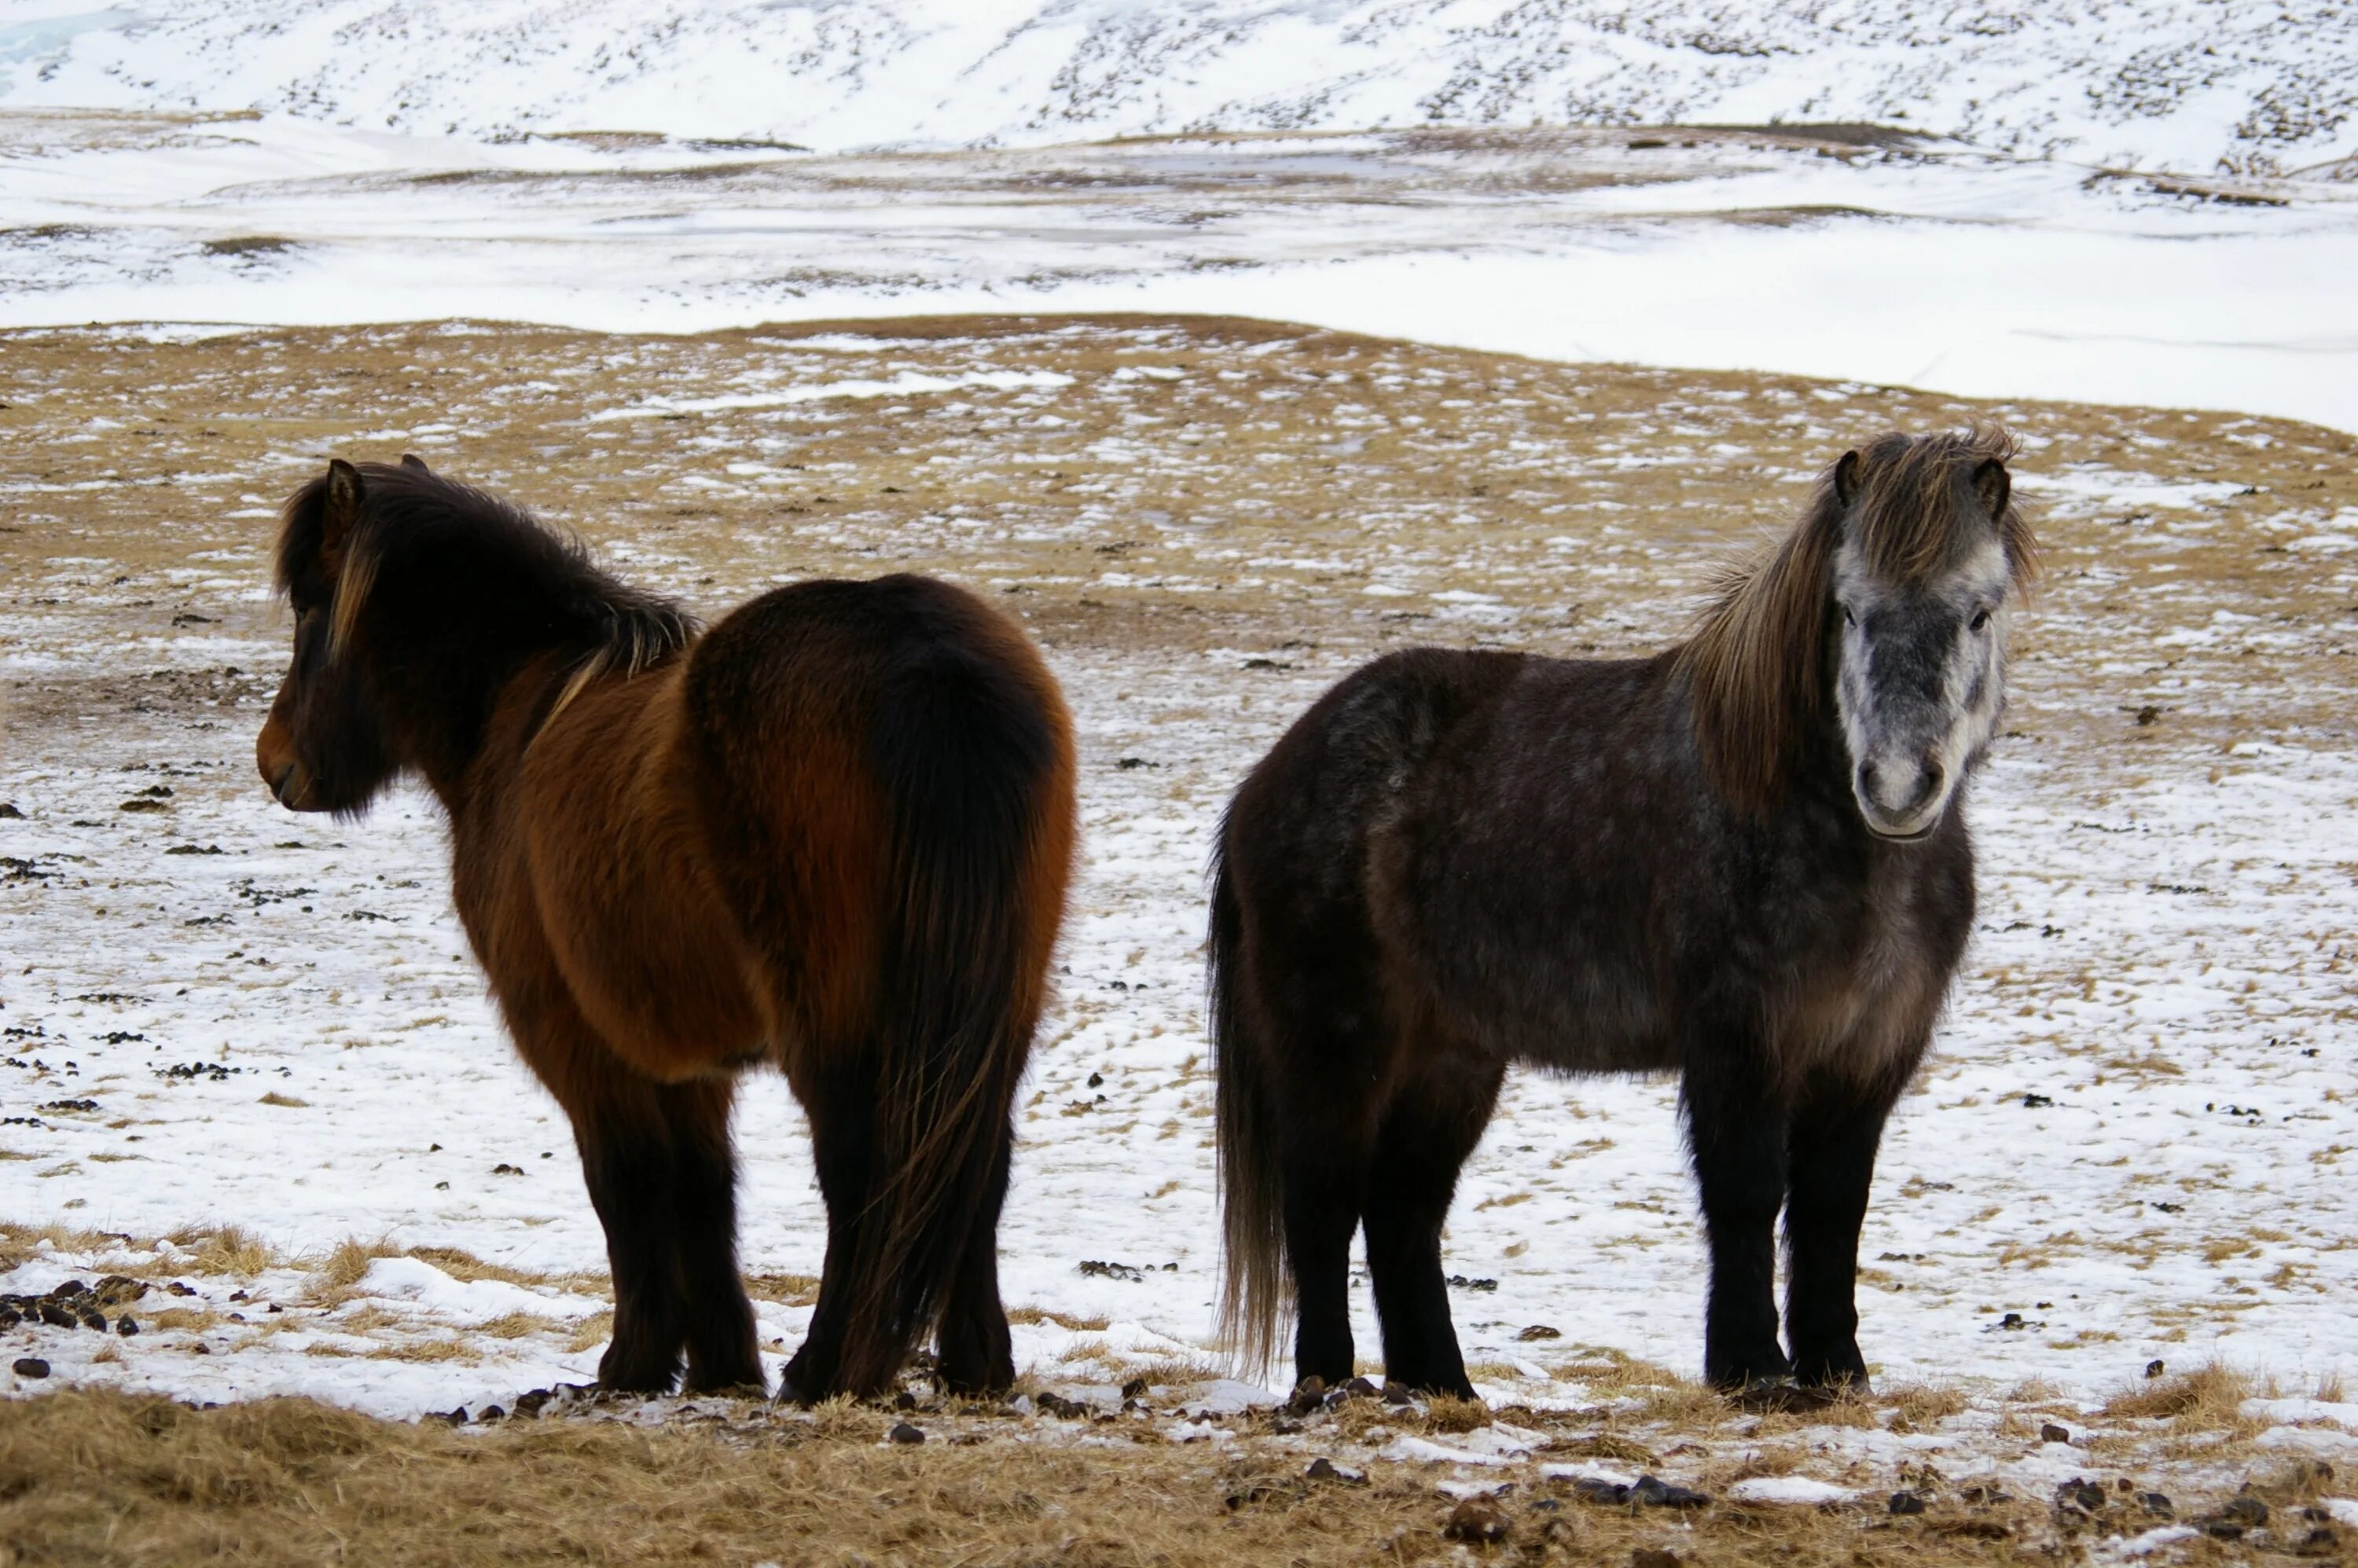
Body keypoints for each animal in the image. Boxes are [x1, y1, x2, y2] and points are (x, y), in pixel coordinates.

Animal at [251, 453, 1080, 1396]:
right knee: (975, 1162)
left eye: (310, 608)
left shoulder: (577, 1040)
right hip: (993, 1008)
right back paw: (977, 1364)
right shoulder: (685, 1057)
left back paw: (825, 1367)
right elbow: (704, 1191)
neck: (520, 709)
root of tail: (928, 657)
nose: (276, 762)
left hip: (836, 1023)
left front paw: (635, 1361)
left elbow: (627, 1183)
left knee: (864, 1165)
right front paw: (723, 1363)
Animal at [1207, 424, 2037, 1396]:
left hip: (1451, 1057)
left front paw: (1836, 1371)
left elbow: (1834, 1210)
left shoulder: (1867, 1056)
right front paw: (1752, 1369)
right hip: (1338, 1041)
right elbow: (1747, 1195)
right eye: (1850, 611)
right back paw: (1330, 1383)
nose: (1899, 787)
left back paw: (1445, 1388)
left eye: (1978, 612)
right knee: (1324, 1199)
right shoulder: (1740, 1044)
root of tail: (1270, 776)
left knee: (1401, 1210)